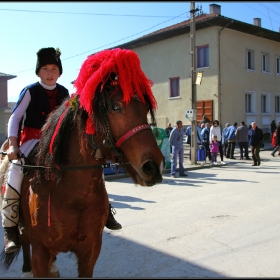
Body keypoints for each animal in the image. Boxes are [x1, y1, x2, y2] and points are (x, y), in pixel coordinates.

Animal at [0, 48, 164, 278]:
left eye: (144, 108)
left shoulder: (90, 250)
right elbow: (15, 117)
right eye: (116, 107)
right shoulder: (41, 251)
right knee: (22, 240)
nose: (154, 166)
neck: (74, 193)